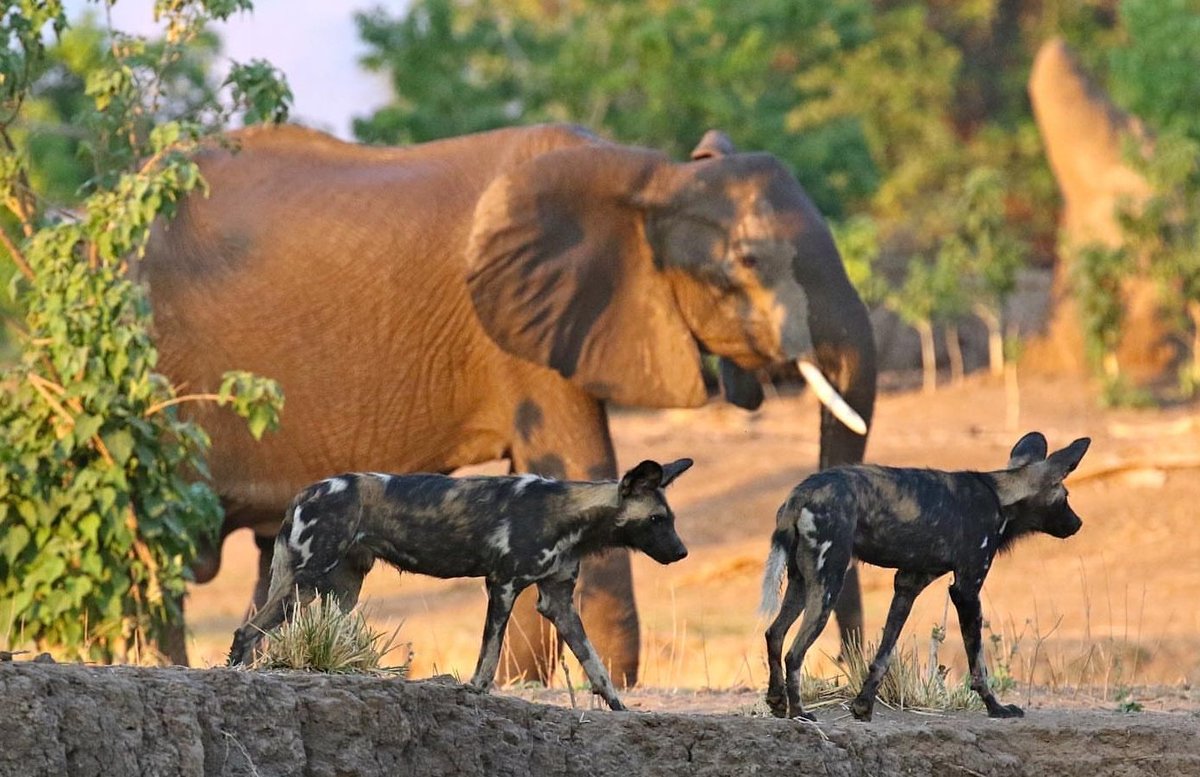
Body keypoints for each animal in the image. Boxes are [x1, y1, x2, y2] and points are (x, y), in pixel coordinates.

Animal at [140, 121, 878, 681]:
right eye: (749, 263)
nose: (840, 669)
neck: (653, 179)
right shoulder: (521, 326)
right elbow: (578, 463)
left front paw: (531, 679)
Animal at [226, 458, 696, 714]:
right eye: (656, 519)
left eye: (670, 519)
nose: (681, 552)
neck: (571, 516)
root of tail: (305, 491)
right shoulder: (502, 585)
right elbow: (489, 660)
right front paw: (474, 693)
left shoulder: (558, 602)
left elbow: (596, 665)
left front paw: (621, 710)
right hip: (305, 582)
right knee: (247, 630)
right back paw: (234, 677)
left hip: (341, 592)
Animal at [763, 431, 1094, 724]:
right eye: (1066, 497)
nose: (1078, 523)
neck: (1002, 494)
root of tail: (802, 492)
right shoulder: (966, 590)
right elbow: (978, 664)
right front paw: (996, 708)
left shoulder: (908, 584)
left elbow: (883, 654)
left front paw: (863, 707)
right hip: (830, 583)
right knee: (794, 652)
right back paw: (799, 714)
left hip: (801, 585)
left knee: (774, 633)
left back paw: (777, 702)